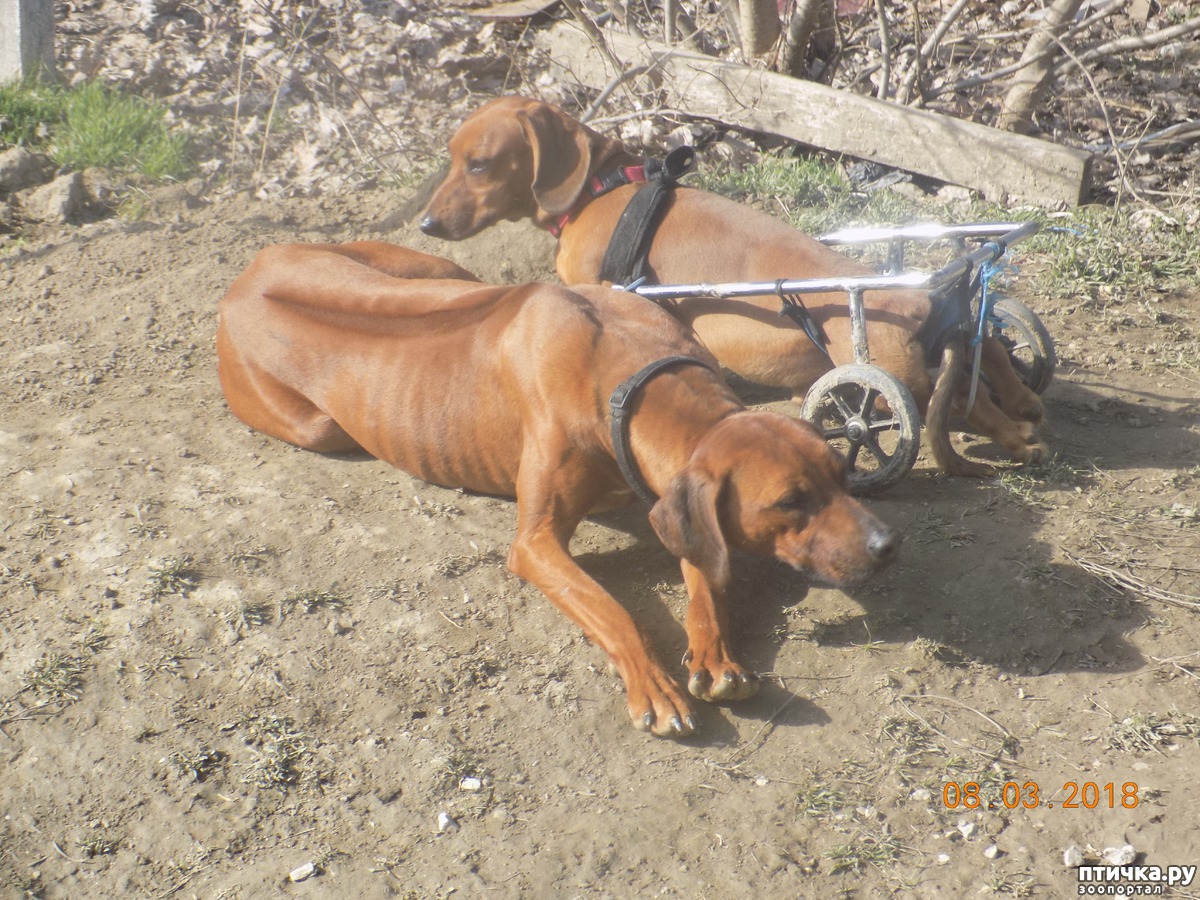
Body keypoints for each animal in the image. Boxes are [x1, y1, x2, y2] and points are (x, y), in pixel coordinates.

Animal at [217, 241, 900, 736]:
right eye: (790, 502)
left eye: (841, 475)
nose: (887, 546)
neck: (632, 378)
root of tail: (246, 275)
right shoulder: (535, 542)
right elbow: (612, 609)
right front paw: (655, 685)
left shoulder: (677, 503)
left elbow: (704, 581)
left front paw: (716, 656)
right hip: (318, 427)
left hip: (437, 268)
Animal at [419, 95, 1049, 476]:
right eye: (451, 157)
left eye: (479, 164)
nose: (424, 224)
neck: (603, 189)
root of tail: (929, 299)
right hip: (963, 338)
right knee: (991, 350)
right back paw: (1022, 396)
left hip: (896, 375)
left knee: (960, 401)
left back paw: (1015, 435)